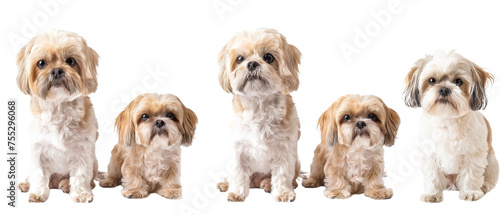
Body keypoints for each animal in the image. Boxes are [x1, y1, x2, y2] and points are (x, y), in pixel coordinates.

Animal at [15, 29, 99, 202]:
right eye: (41, 63)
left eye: (71, 61)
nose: (57, 70)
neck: (58, 107)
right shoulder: (37, 149)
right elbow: (39, 174)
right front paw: (38, 193)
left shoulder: (83, 149)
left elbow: (81, 174)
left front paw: (81, 194)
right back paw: (26, 184)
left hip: (94, 162)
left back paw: (66, 185)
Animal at [215, 28, 300, 202]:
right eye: (240, 59)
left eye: (268, 57)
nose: (252, 63)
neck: (259, 105)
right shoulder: (239, 147)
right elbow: (239, 172)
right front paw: (237, 192)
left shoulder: (285, 149)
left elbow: (282, 172)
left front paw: (282, 193)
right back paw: (226, 184)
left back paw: (267, 184)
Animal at [404, 50, 498, 202]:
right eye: (431, 81)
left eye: (458, 81)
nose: (444, 89)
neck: (448, 120)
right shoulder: (430, 156)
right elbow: (433, 176)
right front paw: (432, 194)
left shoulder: (473, 155)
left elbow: (471, 174)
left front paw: (470, 192)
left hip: (491, 161)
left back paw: (484, 186)